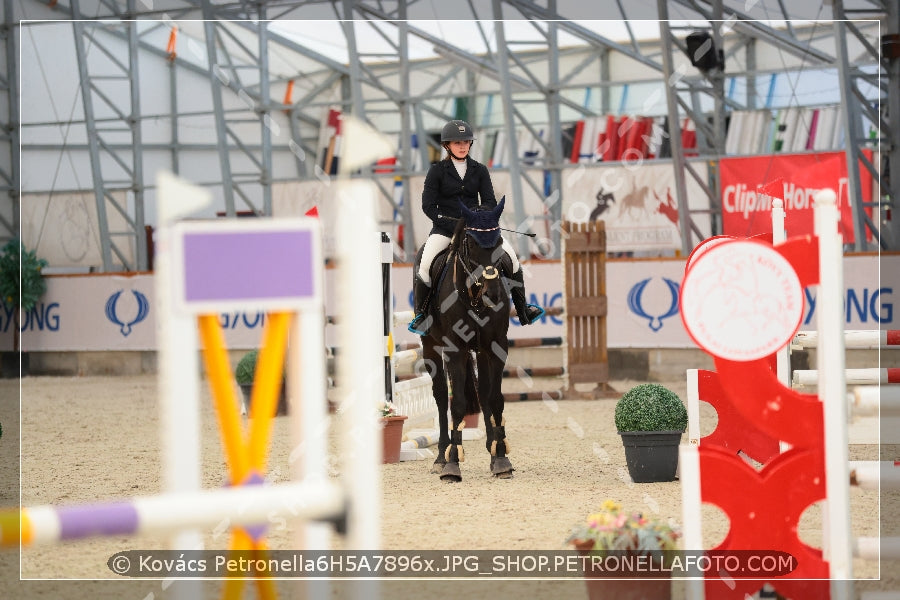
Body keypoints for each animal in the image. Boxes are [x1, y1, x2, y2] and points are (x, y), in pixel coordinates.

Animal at [414, 199, 512, 480]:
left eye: (499, 241)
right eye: (472, 243)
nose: (493, 294)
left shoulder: (495, 347)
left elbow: (495, 398)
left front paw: (501, 459)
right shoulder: (454, 349)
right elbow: (456, 403)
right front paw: (452, 464)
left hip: (480, 351)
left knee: (484, 393)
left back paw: (492, 451)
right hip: (431, 348)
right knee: (440, 397)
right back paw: (440, 457)